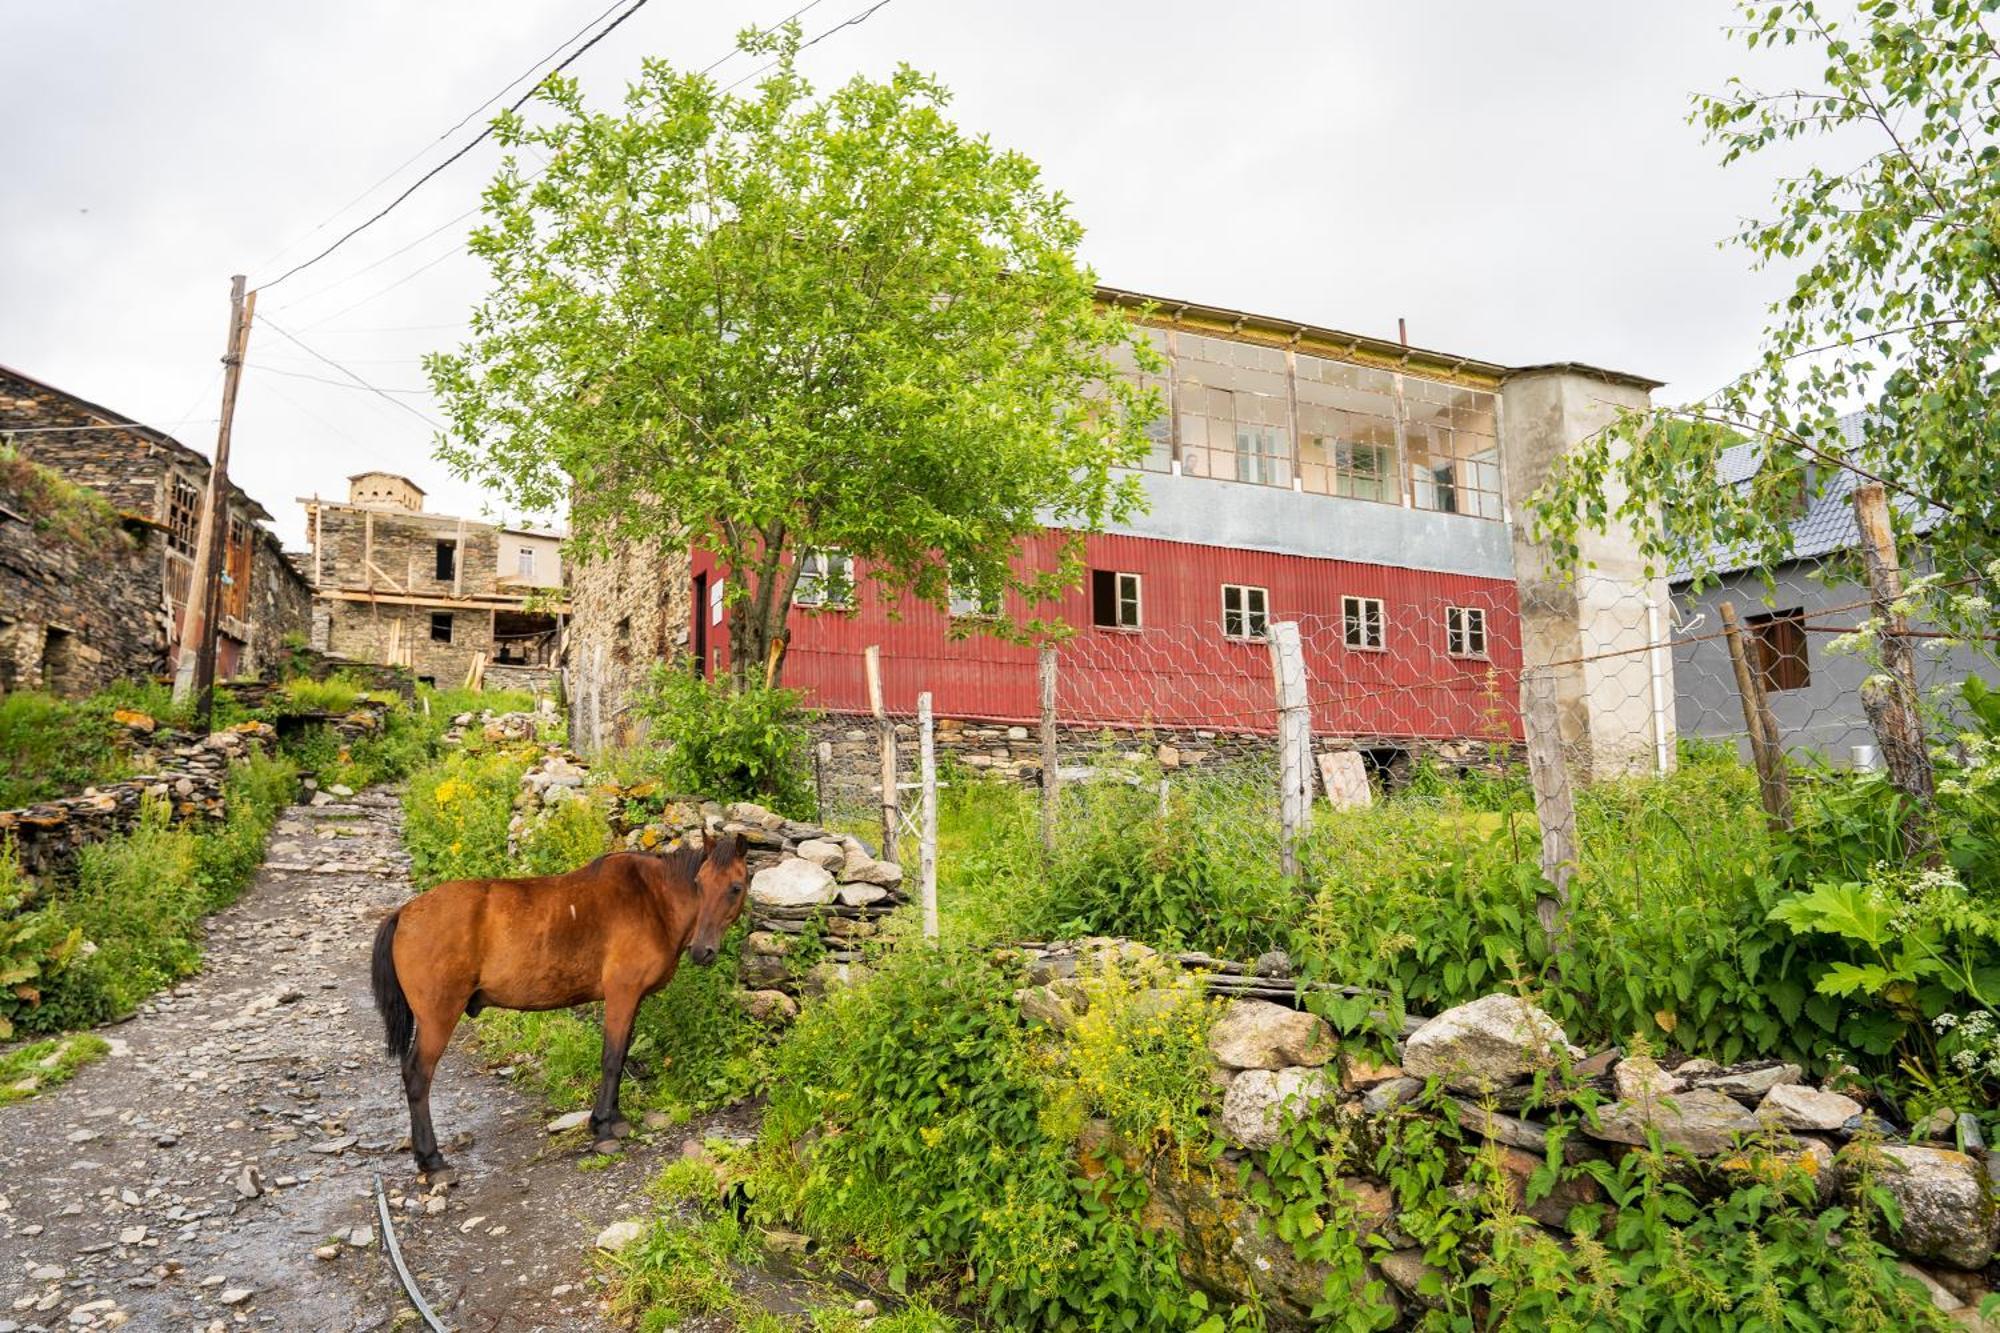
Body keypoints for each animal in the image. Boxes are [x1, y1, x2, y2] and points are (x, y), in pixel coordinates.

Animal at [374, 832, 752, 1176]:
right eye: (699, 884)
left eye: (735, 887)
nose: (702, 951)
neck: (651, 899)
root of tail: (405, 912)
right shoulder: (622, 994)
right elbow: (612, 1059)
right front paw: (602, 1129)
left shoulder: (631, 1000)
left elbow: (622, 1055)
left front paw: (614, 1120)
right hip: (438, 1018)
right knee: (418, 1076)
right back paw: (432, 1160)